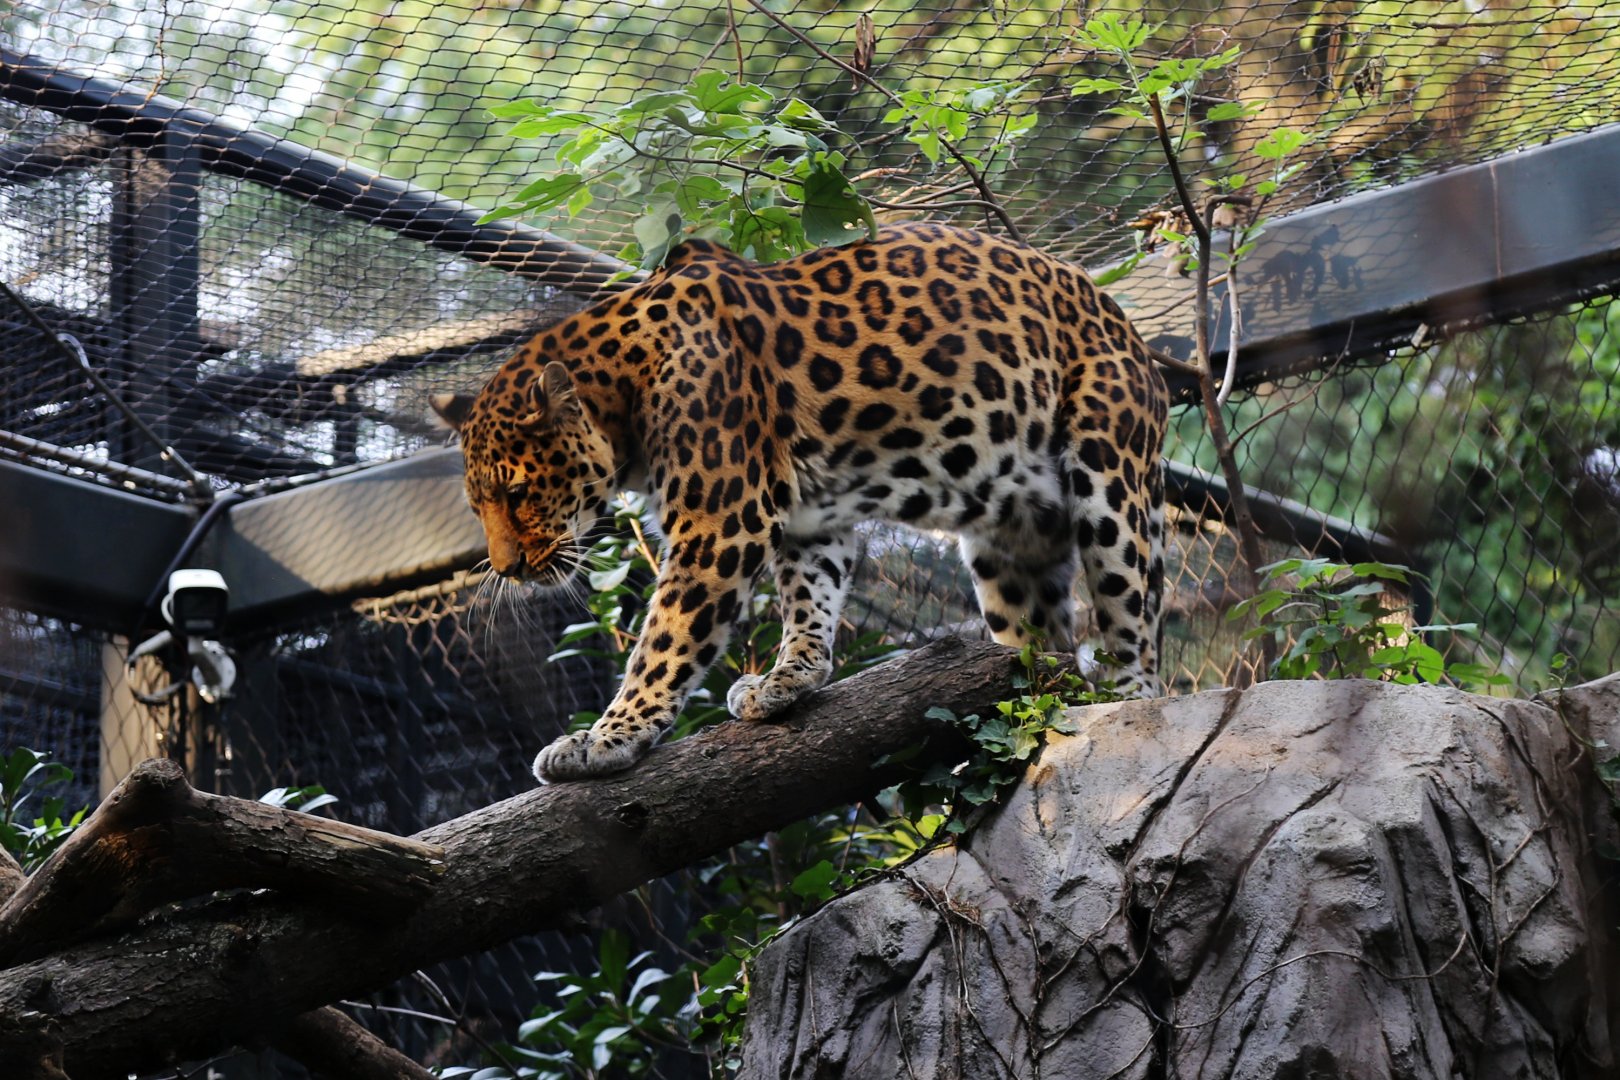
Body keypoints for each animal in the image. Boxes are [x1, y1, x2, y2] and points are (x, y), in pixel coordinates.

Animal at [432, 222, 1169, 784]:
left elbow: (665, 641)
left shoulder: (719, 523)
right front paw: (789, 679)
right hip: (1008, 544)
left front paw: (607, 737)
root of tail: (1129, 328)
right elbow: (810, 597)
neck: (626, 389)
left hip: (1112, 481)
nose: (508, 569)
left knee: (1136, 638)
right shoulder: (809, 517)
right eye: (477, 506)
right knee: (1040, 638)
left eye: (517, 493)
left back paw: (1126, 716)